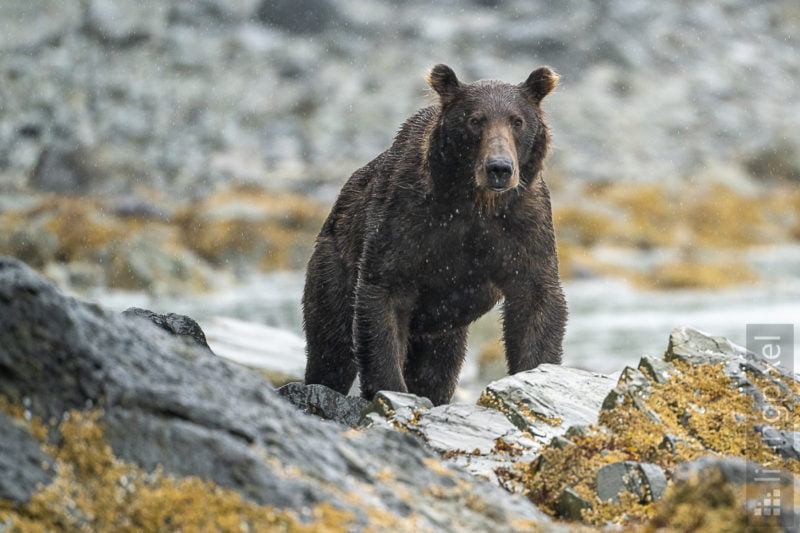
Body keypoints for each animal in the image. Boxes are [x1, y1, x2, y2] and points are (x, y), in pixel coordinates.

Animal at [302, 65, 568, 404]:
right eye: (475, 119)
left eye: (517, 121)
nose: (499, 168)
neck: (474, 202)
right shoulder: (406, 219)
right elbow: (384, 294)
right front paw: (389, 388)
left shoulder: (523, 225)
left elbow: (536, 300)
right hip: (334, 262)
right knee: (331, 345)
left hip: (445, 328)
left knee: (438, 369)